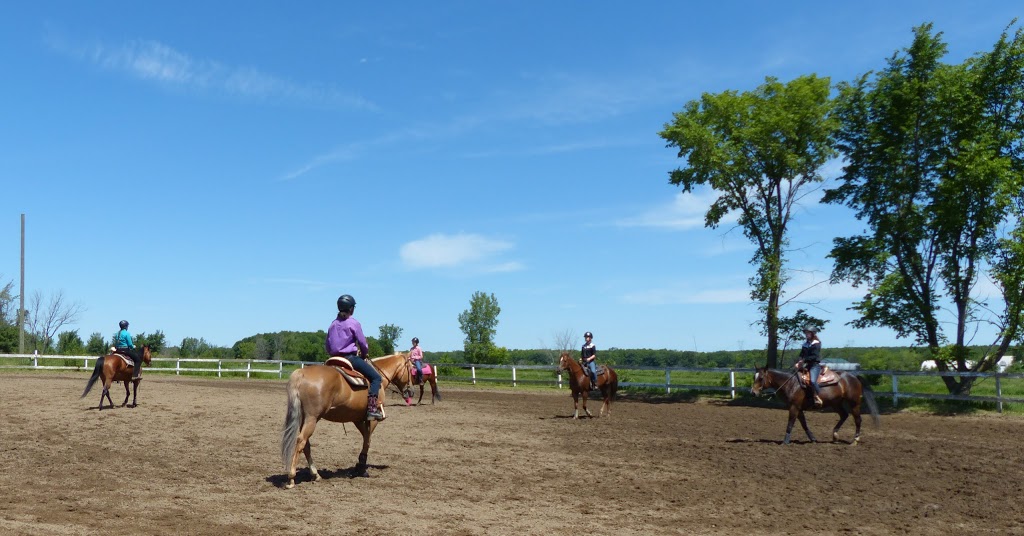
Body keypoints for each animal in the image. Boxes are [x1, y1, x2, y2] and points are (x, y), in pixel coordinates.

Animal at [280, 354, 411, 487]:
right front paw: (361, 469)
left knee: (306, 444)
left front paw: (359, 467)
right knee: (301, 441)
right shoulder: (373, 420)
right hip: (312, 418)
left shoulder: (358, 419)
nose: (410, 392)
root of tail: (301, 373)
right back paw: (291, 477)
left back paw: (315, 474)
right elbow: (367, 441)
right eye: (411, 368)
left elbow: (366, 439)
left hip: (304, 418)